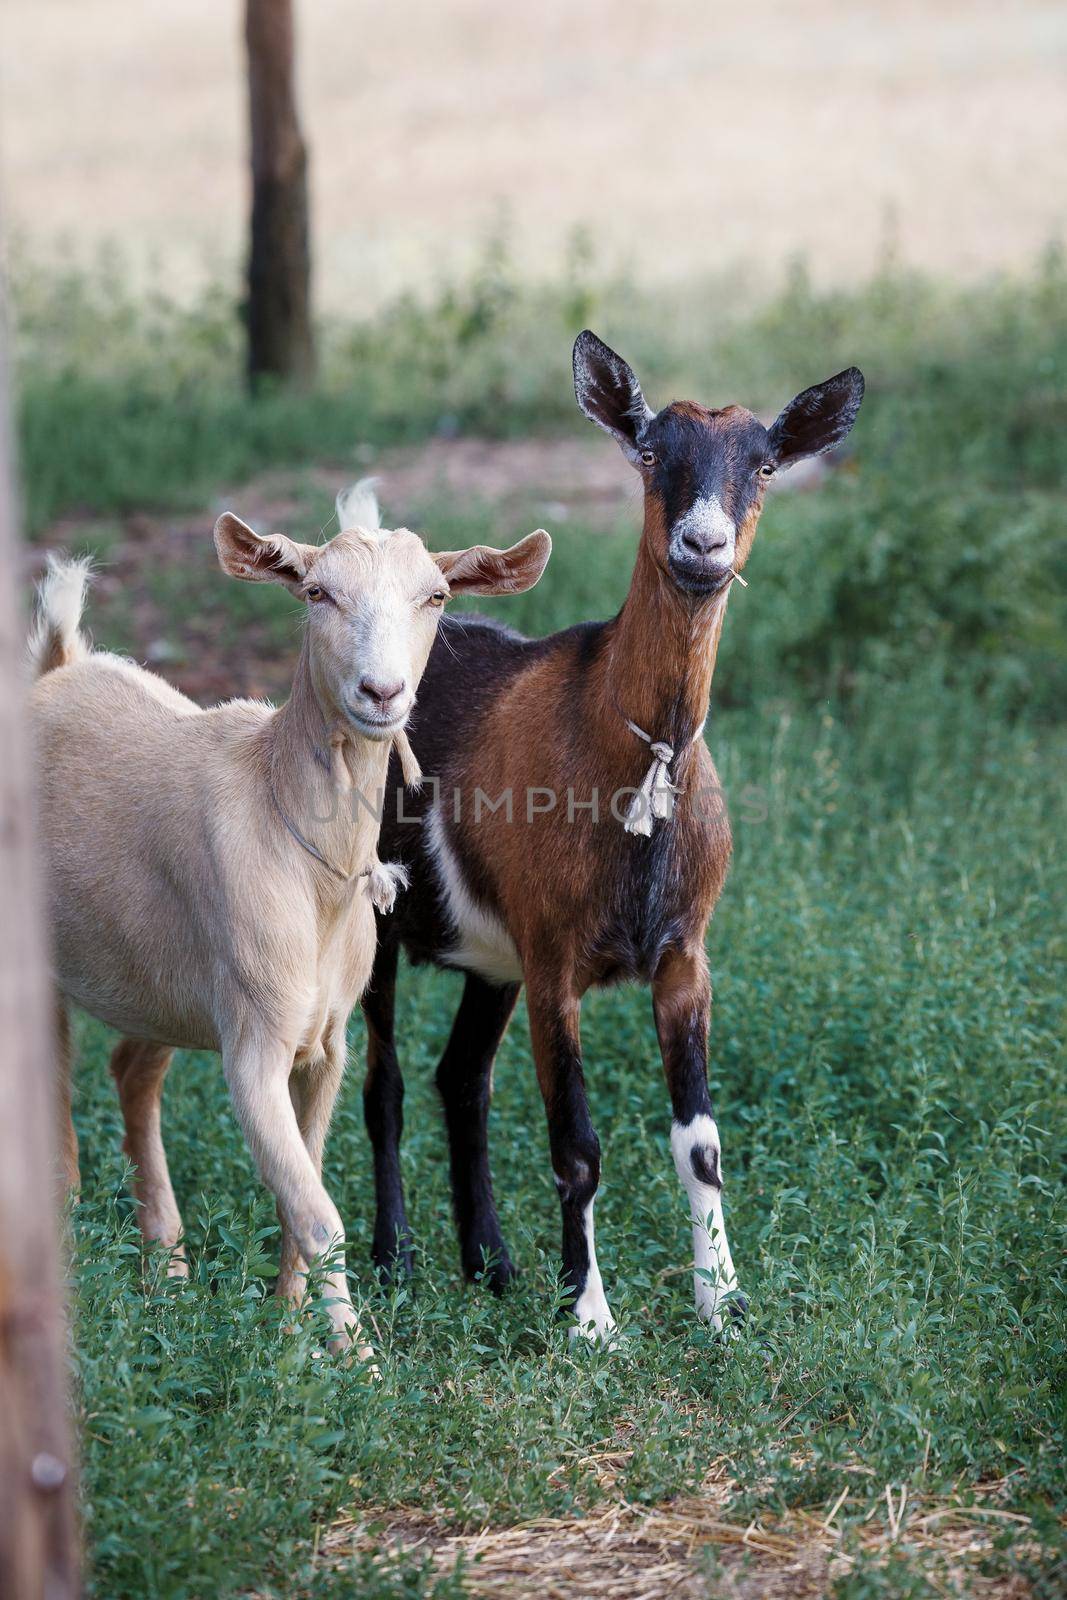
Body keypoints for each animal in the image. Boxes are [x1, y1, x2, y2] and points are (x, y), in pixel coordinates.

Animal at [31, 480, 550, 1356]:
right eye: (316, 593)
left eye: (436, 596)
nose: (381, 694)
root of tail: (57, 668)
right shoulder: (254, 1045)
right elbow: (318, 1212)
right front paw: (356, 1358)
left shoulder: (324, 1041)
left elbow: (300, 1193)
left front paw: (286, 1330)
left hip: (158, 980)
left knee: (132, 1070)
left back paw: (167, 1270)